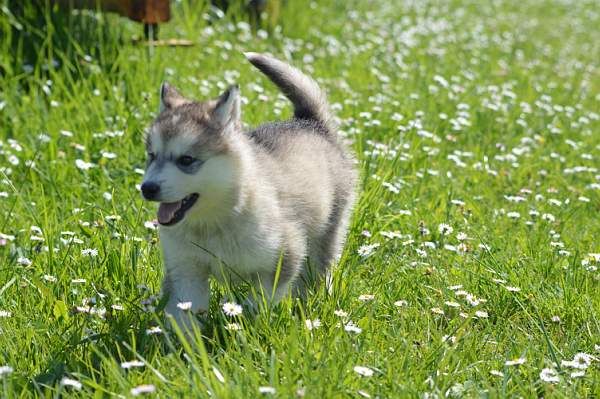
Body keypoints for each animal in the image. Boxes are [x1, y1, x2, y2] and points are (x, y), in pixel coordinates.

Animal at [141, 51, 356, 330]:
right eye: (151, 155)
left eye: (186, 160)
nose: (147, 188)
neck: (213, 222)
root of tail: (309, 123)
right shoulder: (186, 270)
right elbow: (185, 315)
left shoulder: (284, 255)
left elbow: (258, 302)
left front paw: (245, 328)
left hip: (327, 231)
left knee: (316, 274)